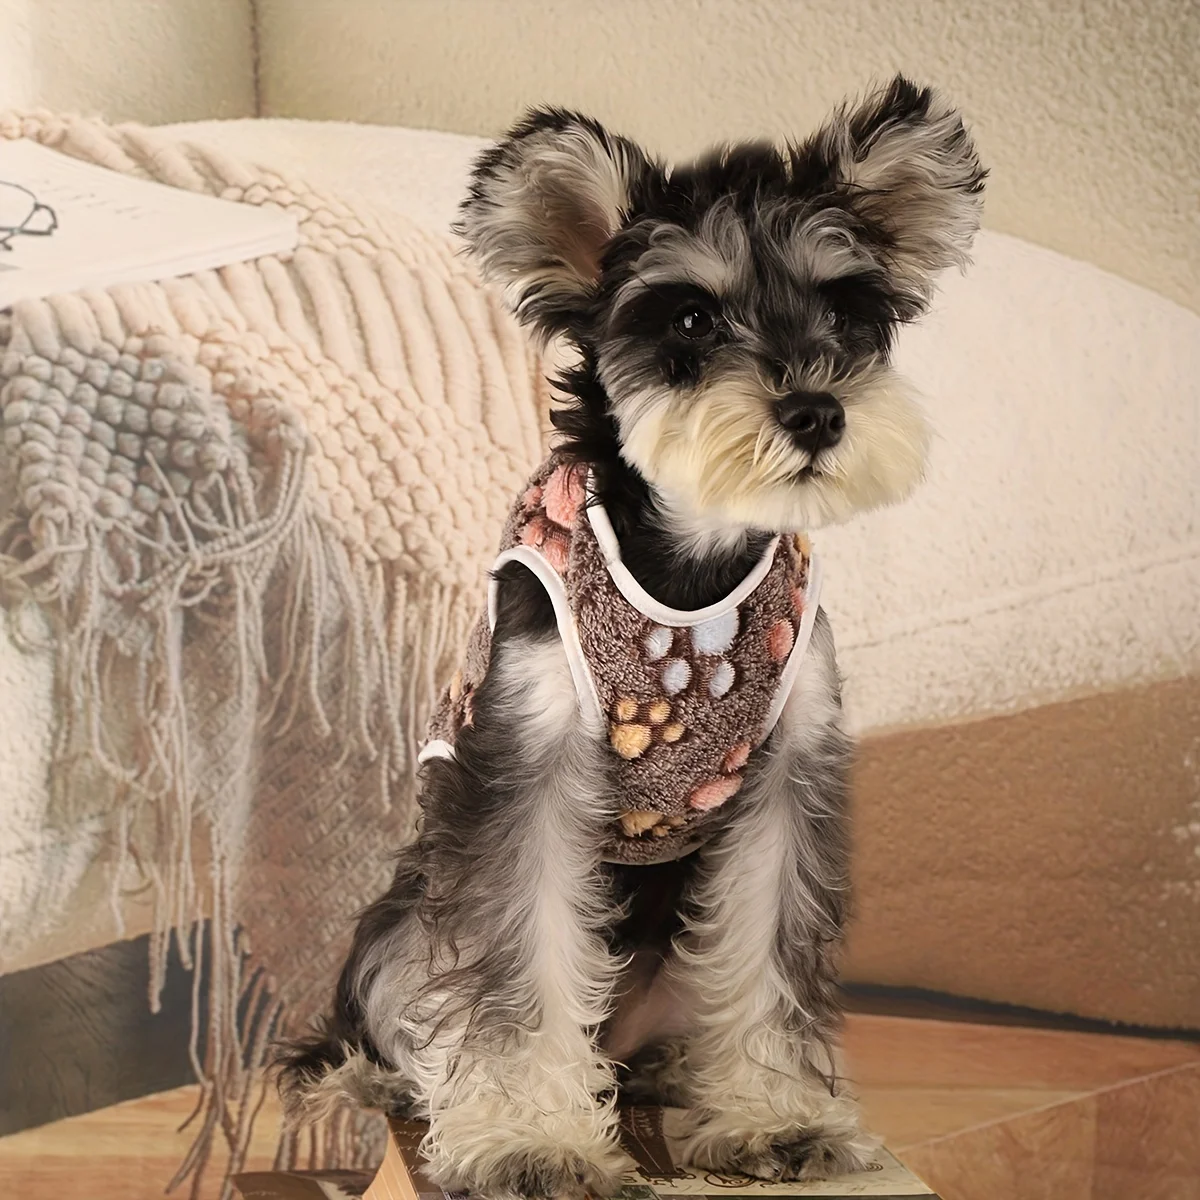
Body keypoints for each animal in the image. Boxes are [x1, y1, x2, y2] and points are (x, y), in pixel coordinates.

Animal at [277, 74, 984, 1199]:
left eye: (847, 309)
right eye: (690, 315)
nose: (816, 410)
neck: (691, 571)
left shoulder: (787, 784)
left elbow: (766, 957)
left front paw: (775, 1117)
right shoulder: (523, 775)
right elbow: (519, 967)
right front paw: (532, 1142)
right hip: (399, 931)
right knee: (404, 1018)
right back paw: (391, 1085)